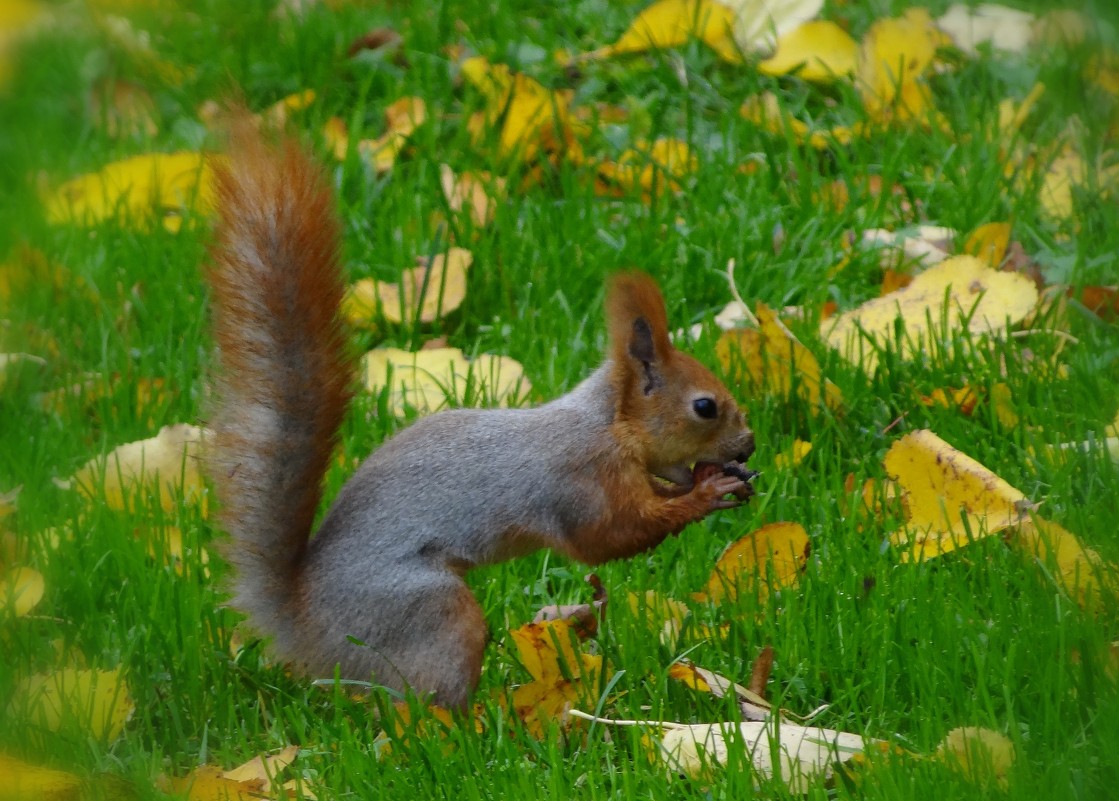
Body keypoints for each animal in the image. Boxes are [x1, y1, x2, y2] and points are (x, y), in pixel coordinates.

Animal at [205, 119, 756, 707]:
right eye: (704, 407)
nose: (748, 446)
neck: (606, 426)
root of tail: (300, 622)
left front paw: (712, 480)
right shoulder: (577, 482)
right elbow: (608, 538)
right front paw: (706, 493)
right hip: (427, 614)